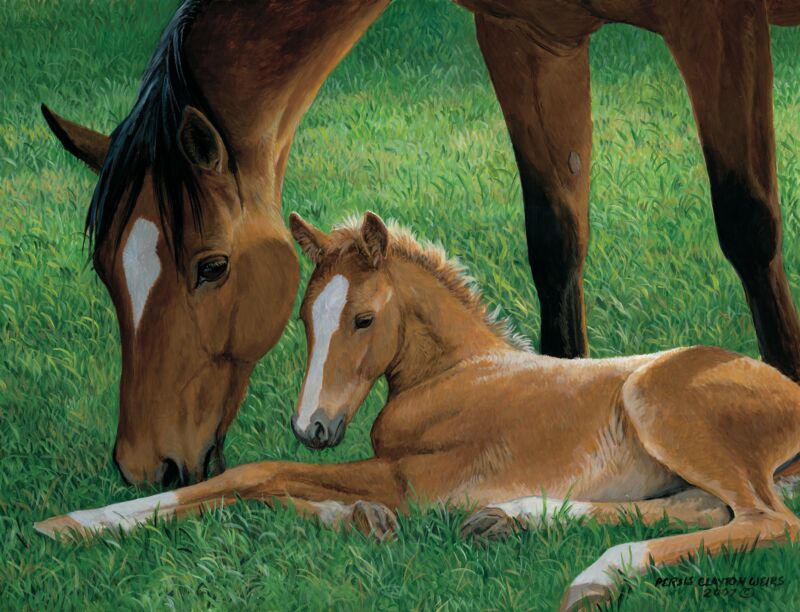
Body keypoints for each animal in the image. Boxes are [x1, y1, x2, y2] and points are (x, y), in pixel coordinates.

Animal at [35, 212, 800, 611]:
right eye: (306, 320)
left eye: (364, 319)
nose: (313, 428)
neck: (454, 375)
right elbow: (279, 486)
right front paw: (361, 521)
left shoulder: (415, 479)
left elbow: (252, 474)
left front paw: (78, 523)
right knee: (700, 510)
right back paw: (510, 520)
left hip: (662, 409)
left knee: (766, 521)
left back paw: (594, 576)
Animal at [43, 0, 800, 486]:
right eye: (104, 270)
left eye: (212, 266)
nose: (144, 465)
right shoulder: (529, 36)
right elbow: (556, 239)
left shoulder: (718, 22)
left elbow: (748, 224)